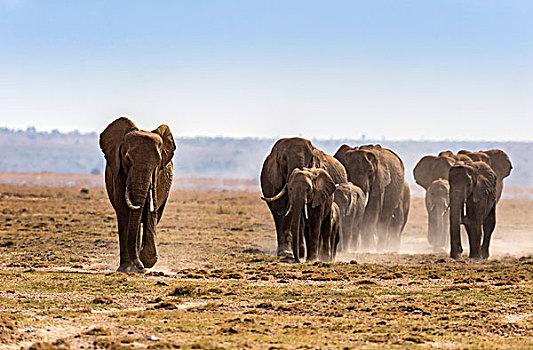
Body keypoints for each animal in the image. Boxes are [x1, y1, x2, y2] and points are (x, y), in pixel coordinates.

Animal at [98, 116, 176, 272]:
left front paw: (145, 262)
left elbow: (149, 213)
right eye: (127, 158)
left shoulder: (156, 178)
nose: (140, 266)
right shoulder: (118, 172)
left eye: (157, 162)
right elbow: (124, 212)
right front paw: (125, 269)